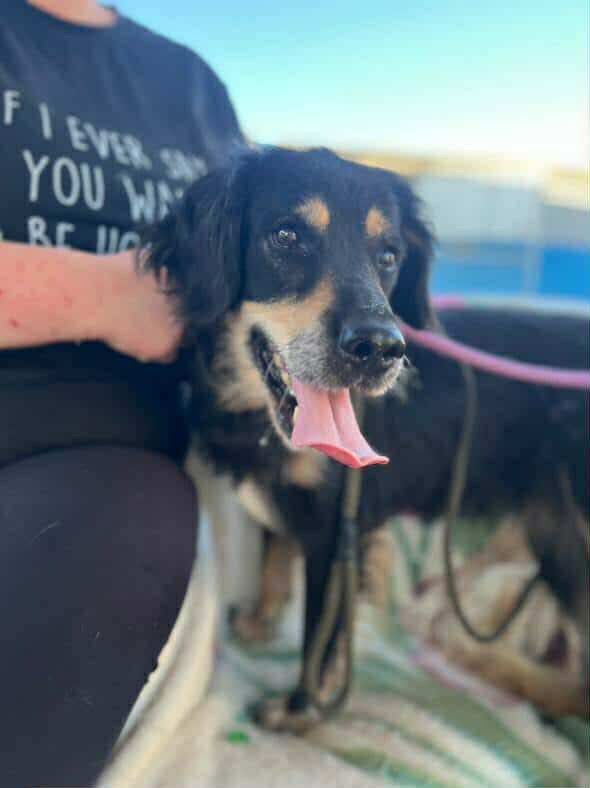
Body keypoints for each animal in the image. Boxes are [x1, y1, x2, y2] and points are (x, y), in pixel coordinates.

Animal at [144, 146, 589, 729]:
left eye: (389, 255)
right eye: (286, 236)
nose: (381, 349)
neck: (260, 419)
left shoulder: (338, 533)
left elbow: (319, 633)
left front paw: (299, 710)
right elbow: (273, 558)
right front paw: (261, 622)